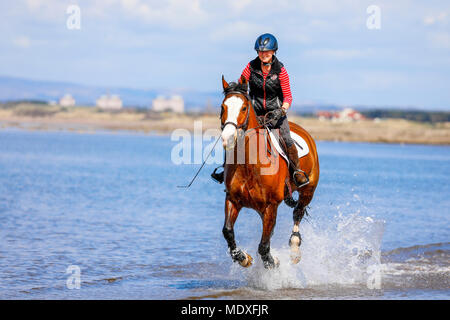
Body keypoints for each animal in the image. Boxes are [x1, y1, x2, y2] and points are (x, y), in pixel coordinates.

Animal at [219, 76, 318, 268]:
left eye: (243, 108)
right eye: (223, 107)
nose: (228, 138)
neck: (249, 164)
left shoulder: (271, 206)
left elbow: (264, 247)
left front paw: (273, 261)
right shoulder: (233, 199)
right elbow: (227, 231)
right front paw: (243, 257)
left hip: (307, 190)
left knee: (298, 212)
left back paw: (294, 249)